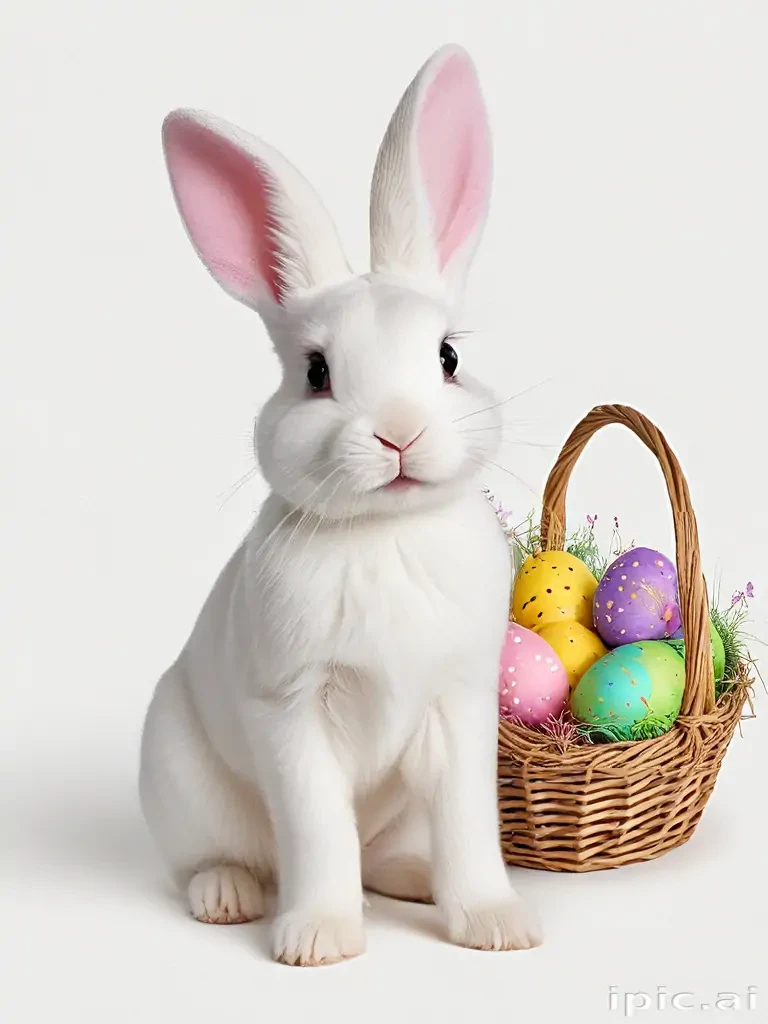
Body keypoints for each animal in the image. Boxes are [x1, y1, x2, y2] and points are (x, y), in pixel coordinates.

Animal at [139, 43, 541, 966]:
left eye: (448, 357)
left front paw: (497, 926)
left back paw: (416, 880)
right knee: (210, 861)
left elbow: (469, 830)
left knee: (387, 852)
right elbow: (320, 831)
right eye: (316, 373)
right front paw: (317, 942)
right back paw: (228, 896)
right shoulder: (292, 712)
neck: (386, 534)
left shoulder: (459, 709)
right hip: (178, 777)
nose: (398, 432)